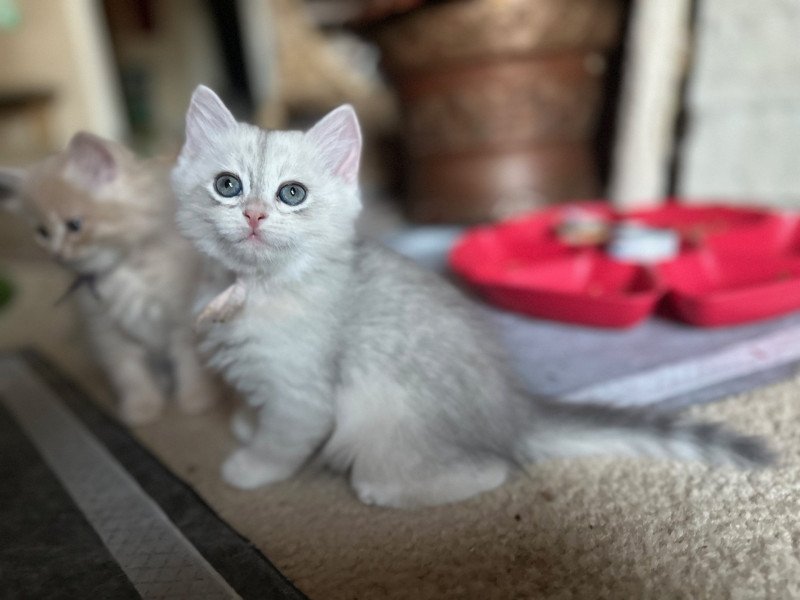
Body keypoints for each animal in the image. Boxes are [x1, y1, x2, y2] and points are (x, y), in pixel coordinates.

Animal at [0, 132, 219, 422]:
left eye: (75, 225)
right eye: (42, 232)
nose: (57, 254)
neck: (124, 269)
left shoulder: (184, 318)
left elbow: (189, 362)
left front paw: (195, 398)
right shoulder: (106, 330)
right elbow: (129, 373)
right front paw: (141, 405)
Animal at [172, 86, 772, 508]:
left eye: (291, 194)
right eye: (228, 185)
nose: (254, 214)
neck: (253, 287)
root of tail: (513, 412)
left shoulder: (303, 396)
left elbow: (281, 440)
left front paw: (248, 466)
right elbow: (257, 407)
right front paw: (244, 423)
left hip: (385, 423)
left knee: (489, 470)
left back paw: (384, 490)